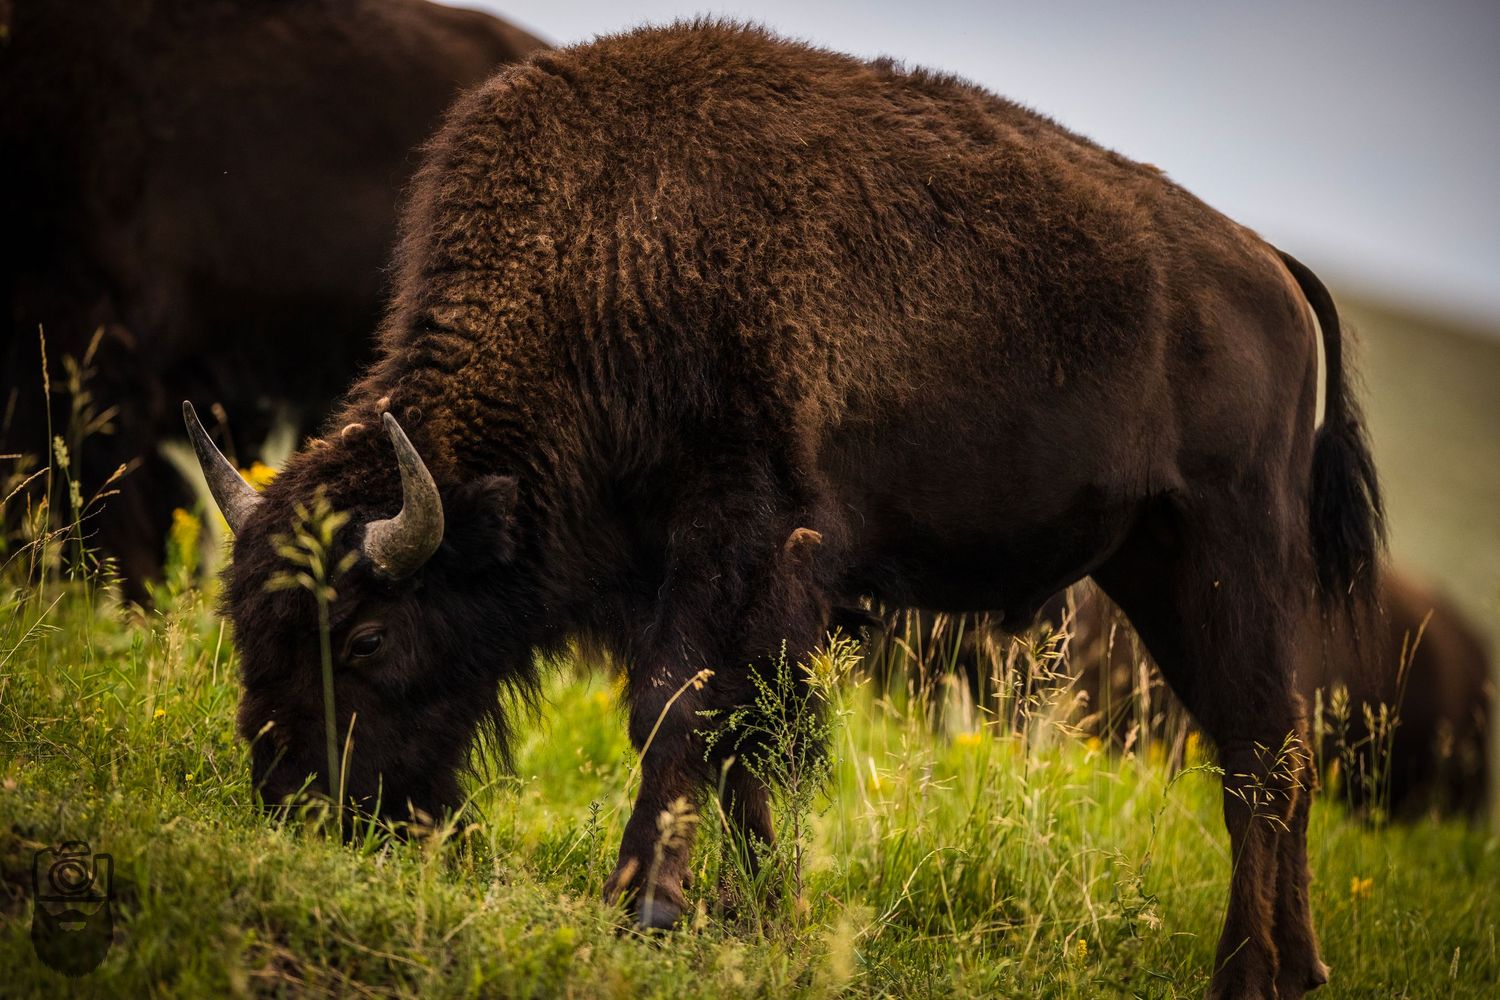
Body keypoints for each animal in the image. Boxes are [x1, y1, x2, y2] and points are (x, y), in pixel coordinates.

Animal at [185, 25, 1382, 998]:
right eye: (246, 628)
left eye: (365, 635)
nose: (296, 803)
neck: (601, 259)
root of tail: (1273, 267)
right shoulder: (704, 578)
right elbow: (738, 741)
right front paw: (757, 916)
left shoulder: (736, 539)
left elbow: (680, 713)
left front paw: (644, 906)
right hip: (1151, 563)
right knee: (1261, 750)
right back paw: (1294, 969)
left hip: (1226, 549)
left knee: (1262, 749)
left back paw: (1248, 974)